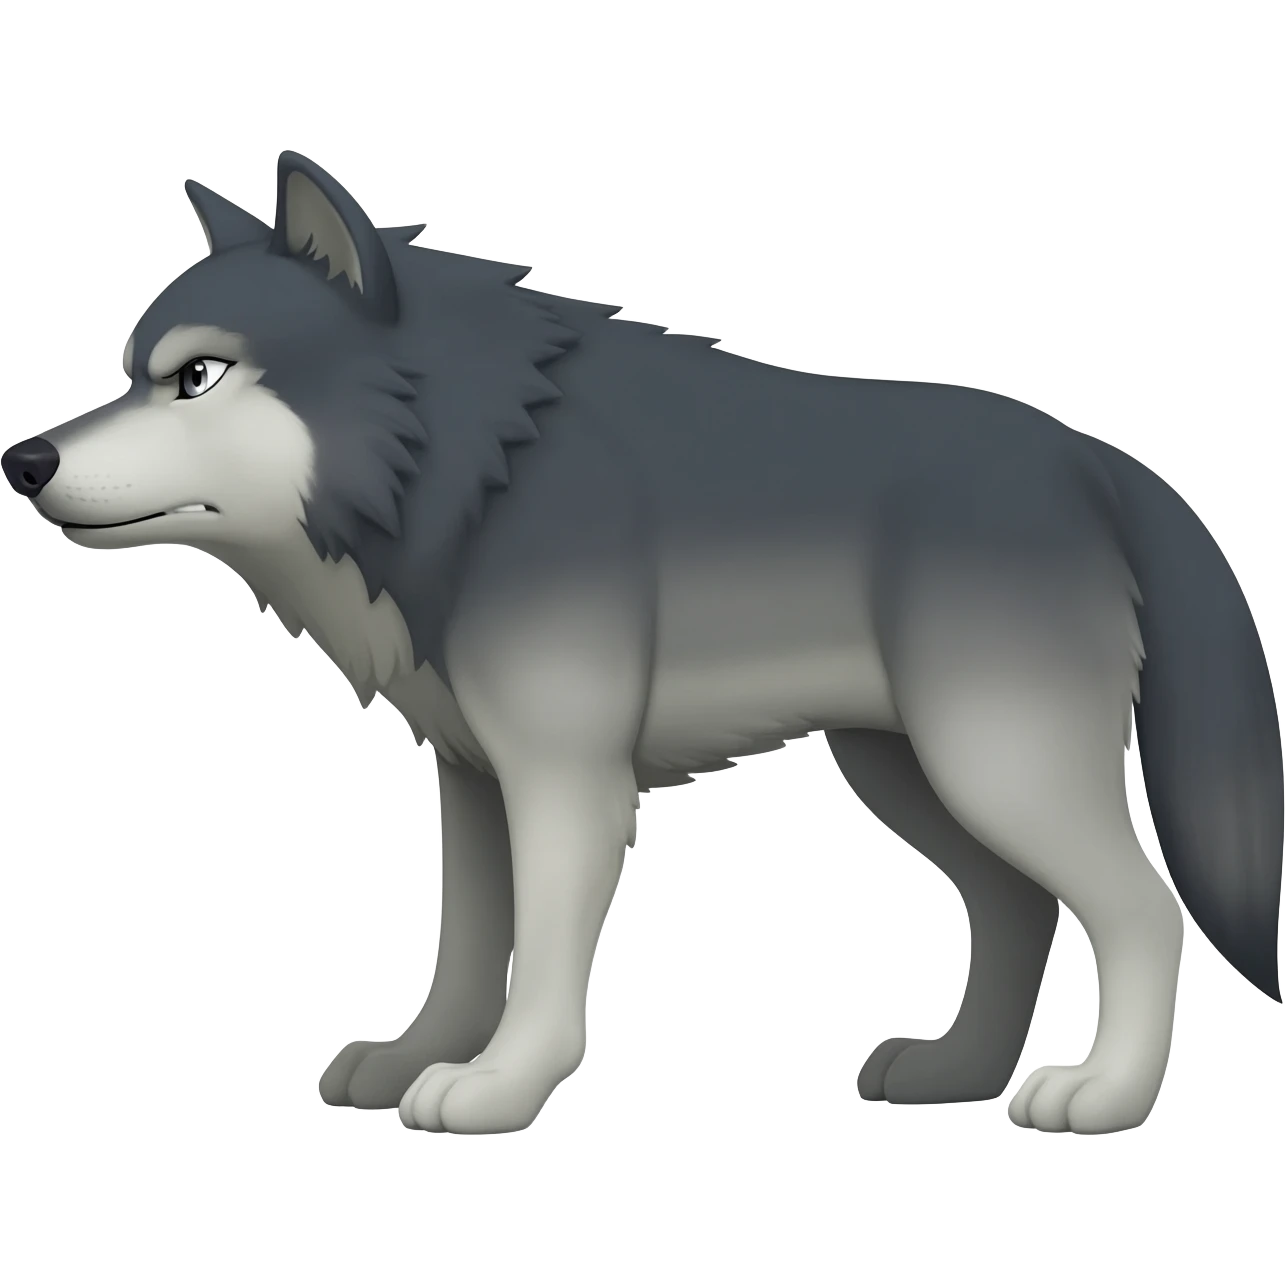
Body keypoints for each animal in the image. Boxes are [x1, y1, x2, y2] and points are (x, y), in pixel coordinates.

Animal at [4, 150, 1280, 1136]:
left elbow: (540, 959)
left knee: (1140, 909)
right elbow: (466, 942)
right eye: (131, 375)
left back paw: (1102, 1097)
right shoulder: (472, 778)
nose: (25, 459)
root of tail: (1099, 461)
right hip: (912, 775)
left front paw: (496, 1087)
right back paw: (957, 1071)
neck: (468, 479)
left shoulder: (568, 779)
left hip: (993, 766)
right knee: (1019, 908)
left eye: (197, 377)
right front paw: (417, 1057)